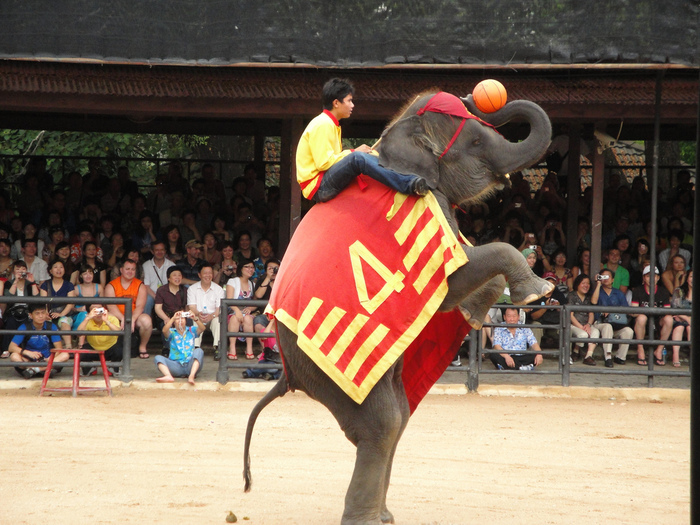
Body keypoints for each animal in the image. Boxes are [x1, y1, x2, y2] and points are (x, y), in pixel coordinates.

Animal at [243, 90, 556, 524]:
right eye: (476, 141)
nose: (478, 94)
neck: (396, 135)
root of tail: (288, 375)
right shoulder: (423, 203)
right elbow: (454, 279)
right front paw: (538, 292)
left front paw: (475, 314)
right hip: (325, 367)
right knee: (383, 424)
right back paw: (366, 519)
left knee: (399, 414)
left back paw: (385, 516)